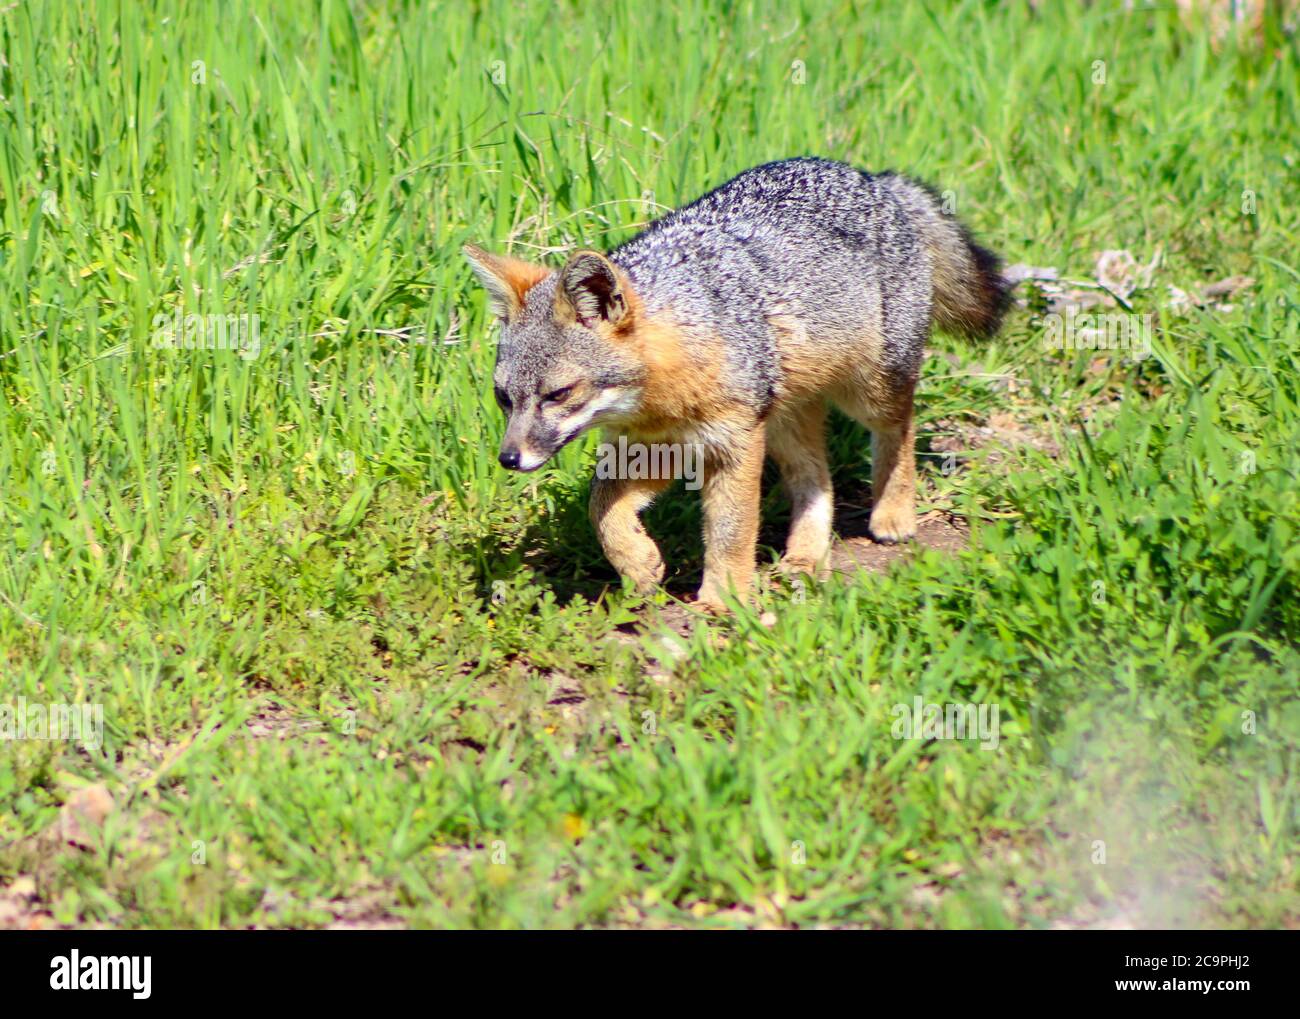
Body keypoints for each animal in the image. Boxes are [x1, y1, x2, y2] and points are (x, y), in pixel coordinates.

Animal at [464, 157, 1009, 613]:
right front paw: (638, 563)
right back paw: (805, 557)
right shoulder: (657, 447)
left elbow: (729, 530)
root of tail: (873, 178)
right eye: (503, 398)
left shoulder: (734, 441)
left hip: (869, 392)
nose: (508, 459)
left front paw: (723, 597)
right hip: (787, 421)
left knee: (900, 426)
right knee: (818, 481)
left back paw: (893, 513)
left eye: (558, 395)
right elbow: (602, 508)